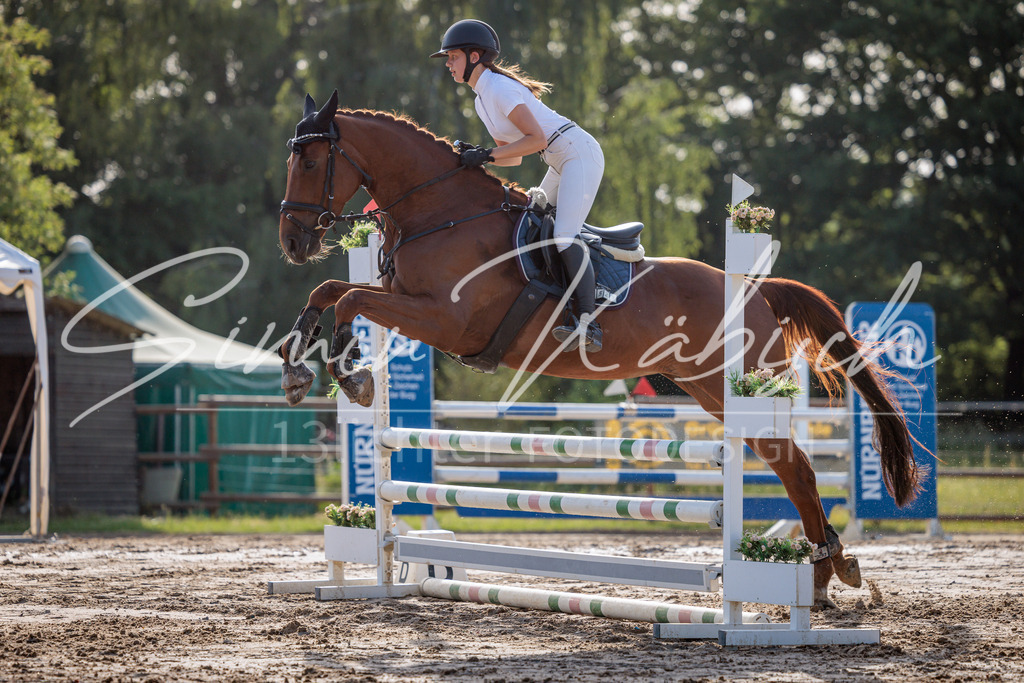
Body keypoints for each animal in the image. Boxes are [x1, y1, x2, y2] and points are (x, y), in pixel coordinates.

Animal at [276, 90, 923, 608]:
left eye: (309, 160)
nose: (292, 241)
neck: (444, 212)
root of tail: (758, 290)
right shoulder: (406, 300)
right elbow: (329, 291)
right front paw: (296, 368)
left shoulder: (444, 319)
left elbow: (349, 301)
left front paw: (351, 375)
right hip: (712, 391)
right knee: (794, 469)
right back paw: (824, 575)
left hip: (739, 390)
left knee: (797, 468)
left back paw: (819, 577)